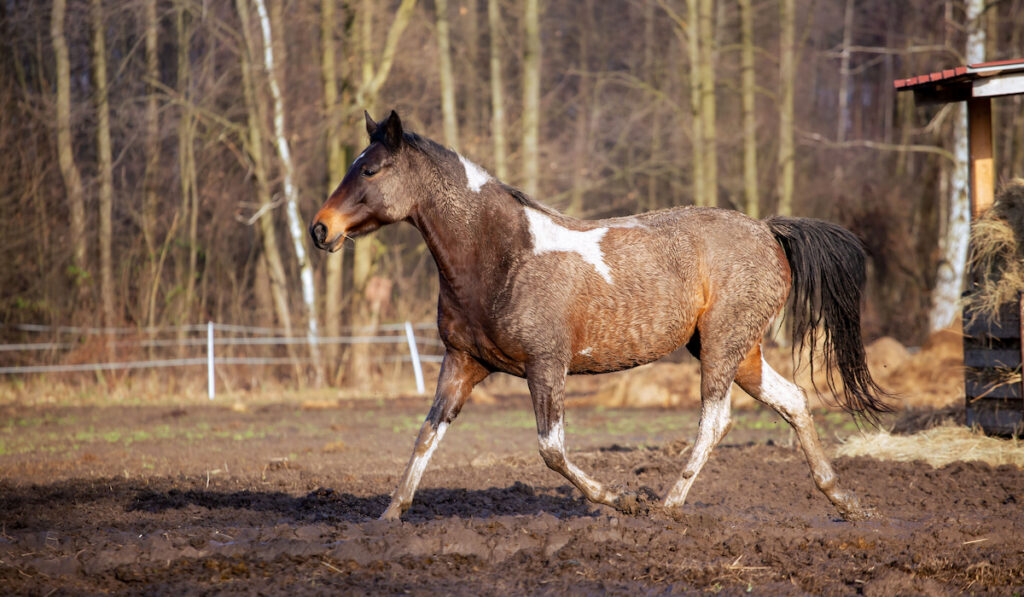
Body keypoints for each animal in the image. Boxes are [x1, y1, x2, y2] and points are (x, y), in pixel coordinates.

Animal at [307, 109, 892, 520]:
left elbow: (551, 450)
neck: (500, 257)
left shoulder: (546, 366)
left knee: (716, 419)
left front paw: (622, 499)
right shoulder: (461, 364)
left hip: (723, 347)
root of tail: (769, 230)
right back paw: (844, 500)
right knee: (793, 401)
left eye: (371, 168)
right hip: (738, 351)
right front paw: (389, 516)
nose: (320, 229)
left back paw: (667, 505)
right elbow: (426, 435)